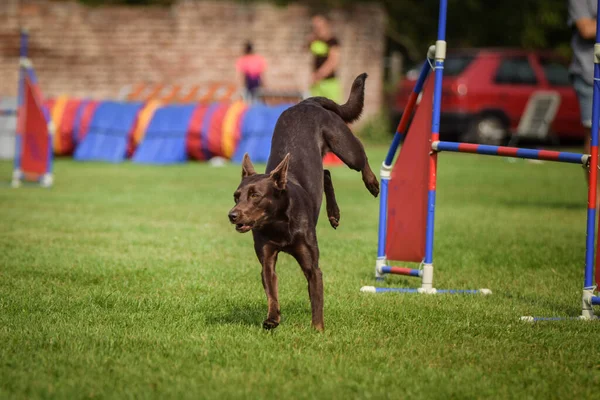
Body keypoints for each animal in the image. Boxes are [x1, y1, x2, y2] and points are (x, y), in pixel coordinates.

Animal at [227, 73, 378, 330]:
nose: (232, 215)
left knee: (361, 156)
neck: (278, 224)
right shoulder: (267, 259)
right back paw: (334, 214)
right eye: (237, 196)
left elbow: (316, 301)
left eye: (256, 196)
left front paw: (318, 331)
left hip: (344, 145)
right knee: (326, 173)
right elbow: (272, 291)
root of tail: (307, 102)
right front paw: (272, 318)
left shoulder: (312, 267)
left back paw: (373, 183)